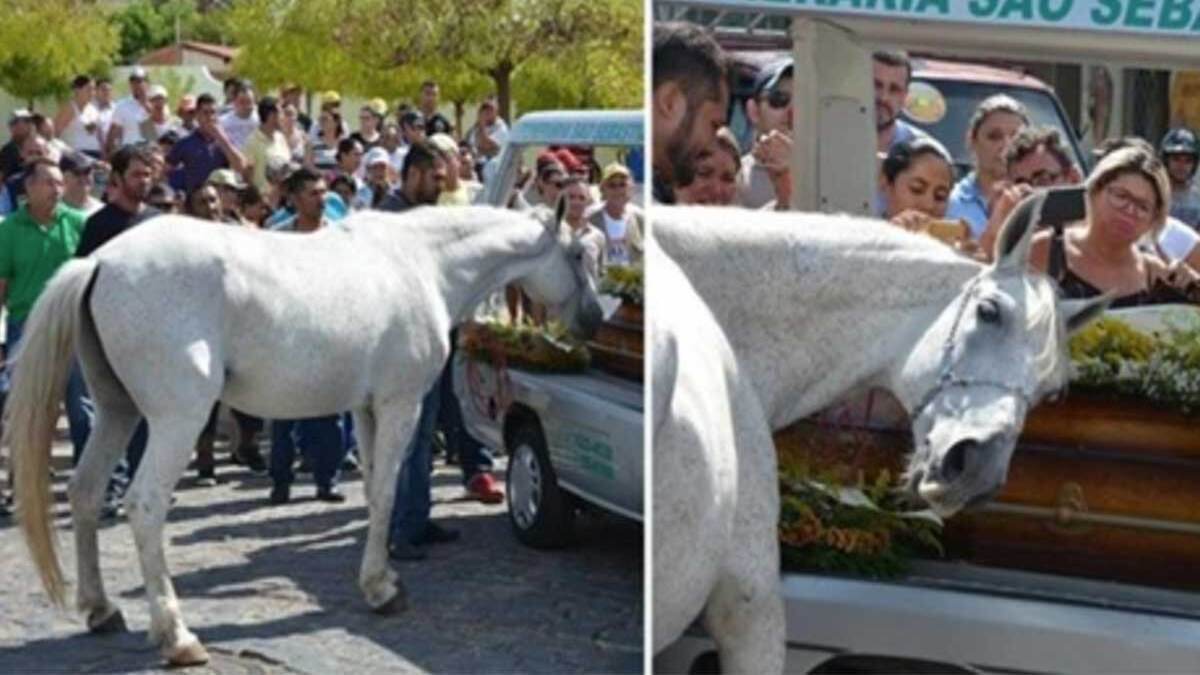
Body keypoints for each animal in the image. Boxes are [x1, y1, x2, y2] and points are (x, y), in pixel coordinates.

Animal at [5, 205, 604, 662]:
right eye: (578, 254)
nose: (595, 319)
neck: (422, 264)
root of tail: (100, 261)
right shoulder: (400, 405)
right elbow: (388, 492)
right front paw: (382, 590)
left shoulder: (364, 410)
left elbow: (374, 494)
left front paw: (379, 580)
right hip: (176, 421)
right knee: (145, 505)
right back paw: (177, 636)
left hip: (116, 411)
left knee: (85, 492)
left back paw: (101, 609)